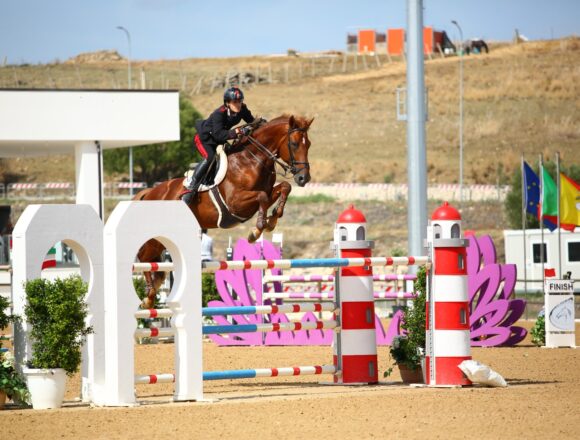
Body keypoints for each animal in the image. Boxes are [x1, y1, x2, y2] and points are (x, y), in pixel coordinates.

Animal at [134, 114, 314, 306]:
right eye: (294, 144)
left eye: (308, 144)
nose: (303, 178)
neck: (252, 160)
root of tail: (149, 192)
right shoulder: (235, 202)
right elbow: (262, 198)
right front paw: (257, 230)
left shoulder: (265, 193)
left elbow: (285, 187)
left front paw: (272, 219)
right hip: (155, 236)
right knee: (144, 258)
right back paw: (149, 296)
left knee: (156, 265)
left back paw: (150, 295)